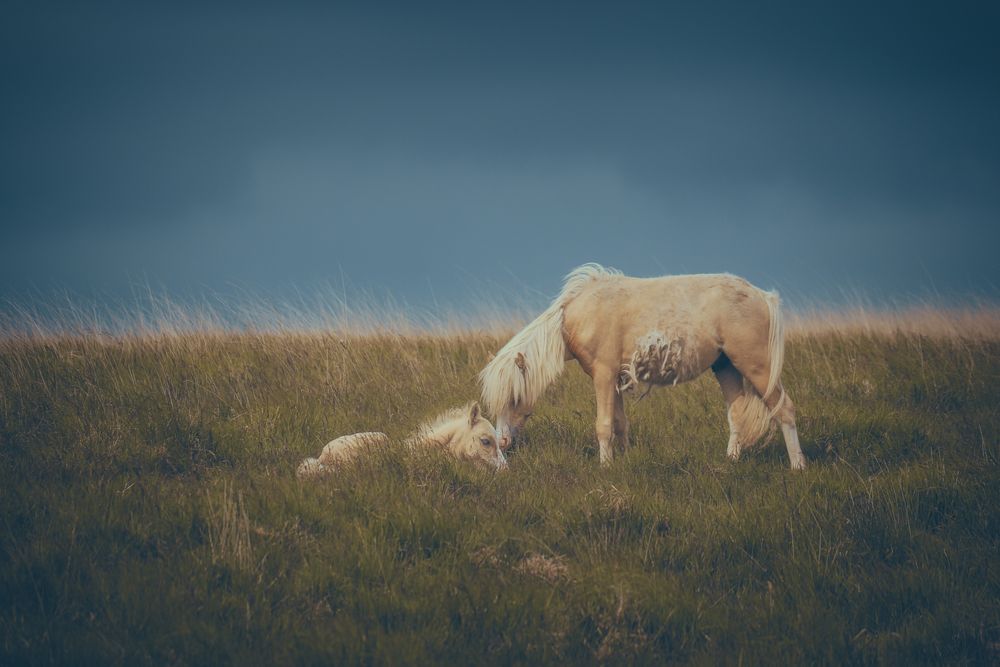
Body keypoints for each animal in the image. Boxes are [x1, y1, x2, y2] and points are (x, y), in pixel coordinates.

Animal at [478, 263, 806, 469]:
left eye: (514, 398)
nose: (502, 441)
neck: (578, 315)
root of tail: (763, 296)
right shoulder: (616, 379)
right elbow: (620, 424)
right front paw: (623, 459)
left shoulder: (603, 375)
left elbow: (604, 425)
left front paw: (605, 466)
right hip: (726, 367)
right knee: (737, 415)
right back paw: (731, 460)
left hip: (757, 367)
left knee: (785, 410)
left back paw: (798, 465)